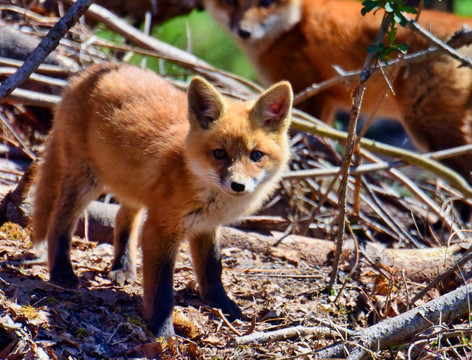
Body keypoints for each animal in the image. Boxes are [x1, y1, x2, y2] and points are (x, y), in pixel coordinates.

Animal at [31, 62, 294, 338]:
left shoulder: (206, 226)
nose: (238, 186)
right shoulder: (160, 229)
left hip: (131, 185)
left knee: (123, 219)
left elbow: (212, 269)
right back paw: (62, 271)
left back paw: (123, 267)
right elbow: (162, 289)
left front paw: (223, 306)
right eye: (219, 154)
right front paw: (162, 331)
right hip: (86, 180)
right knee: (59, 221)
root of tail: (96, 69)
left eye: (256, 155)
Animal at [205, 0, 472, 181]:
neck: (293, 25)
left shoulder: (308, 95)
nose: (244, 32)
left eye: (266, 3)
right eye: (231, 2)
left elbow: (308, 142)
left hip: (428, 126)